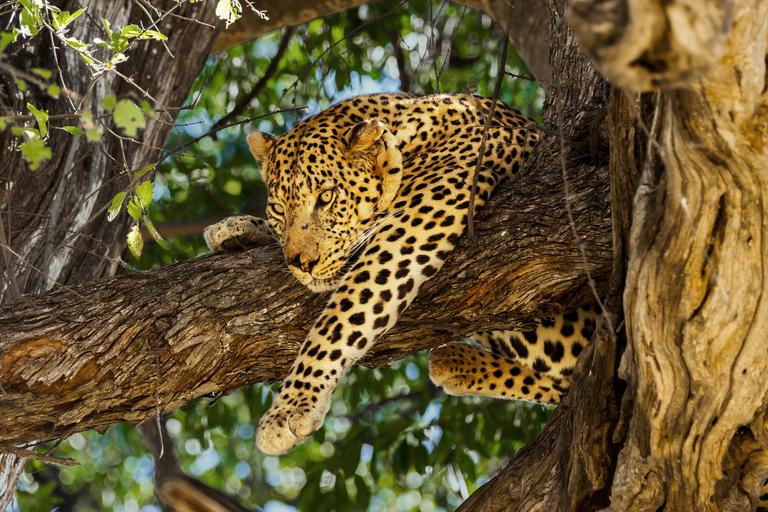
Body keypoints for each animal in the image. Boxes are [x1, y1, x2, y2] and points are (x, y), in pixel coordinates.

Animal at [204, 92, 598, 456]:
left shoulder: (414, 225)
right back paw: (455, 363)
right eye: (280, 209)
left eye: (326, 197)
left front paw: (290, 408)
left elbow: (341, 316)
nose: (302, 264)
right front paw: (235, 229)